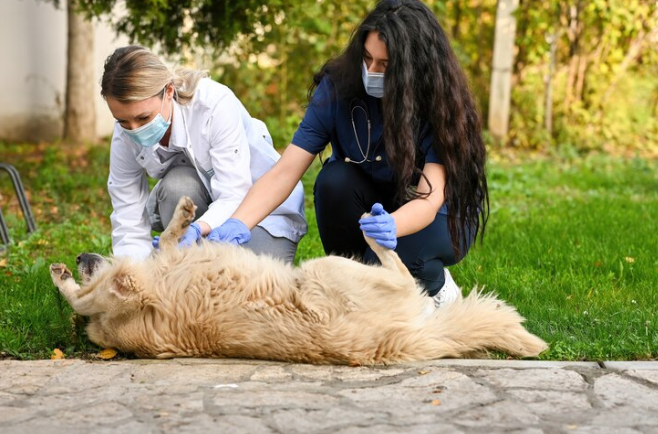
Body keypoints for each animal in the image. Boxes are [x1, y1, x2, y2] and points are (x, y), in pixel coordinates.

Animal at [48, 196, 544, 362]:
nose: (77, 256)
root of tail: (393, 344)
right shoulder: (131, 288)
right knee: (407, 278)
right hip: (323, 269)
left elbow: (164, 243)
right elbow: (89, 295)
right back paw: (378, 230)